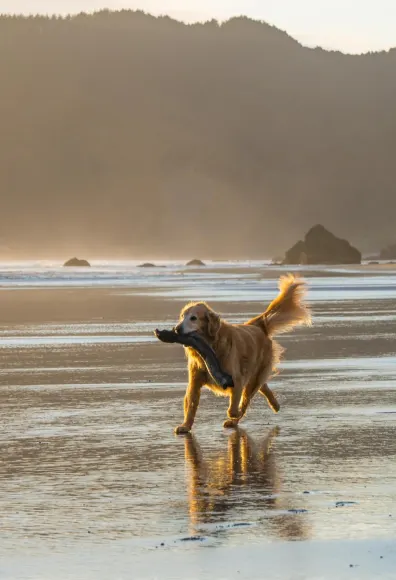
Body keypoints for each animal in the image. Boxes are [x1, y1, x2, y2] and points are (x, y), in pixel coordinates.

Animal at [175, 274, 310, 432]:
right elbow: (191, 404)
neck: (210, 348)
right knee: (262, 386)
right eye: (182, 316)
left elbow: (234, 408)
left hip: (254, 374)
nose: (177, 329)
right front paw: (185, 425)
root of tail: (257, 325)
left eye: (193, 318)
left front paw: (234, 413)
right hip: (254, 375)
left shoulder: (237, 380)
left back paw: (237, 418)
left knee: (249, 396)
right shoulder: (195, 382)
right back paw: (275, 404)